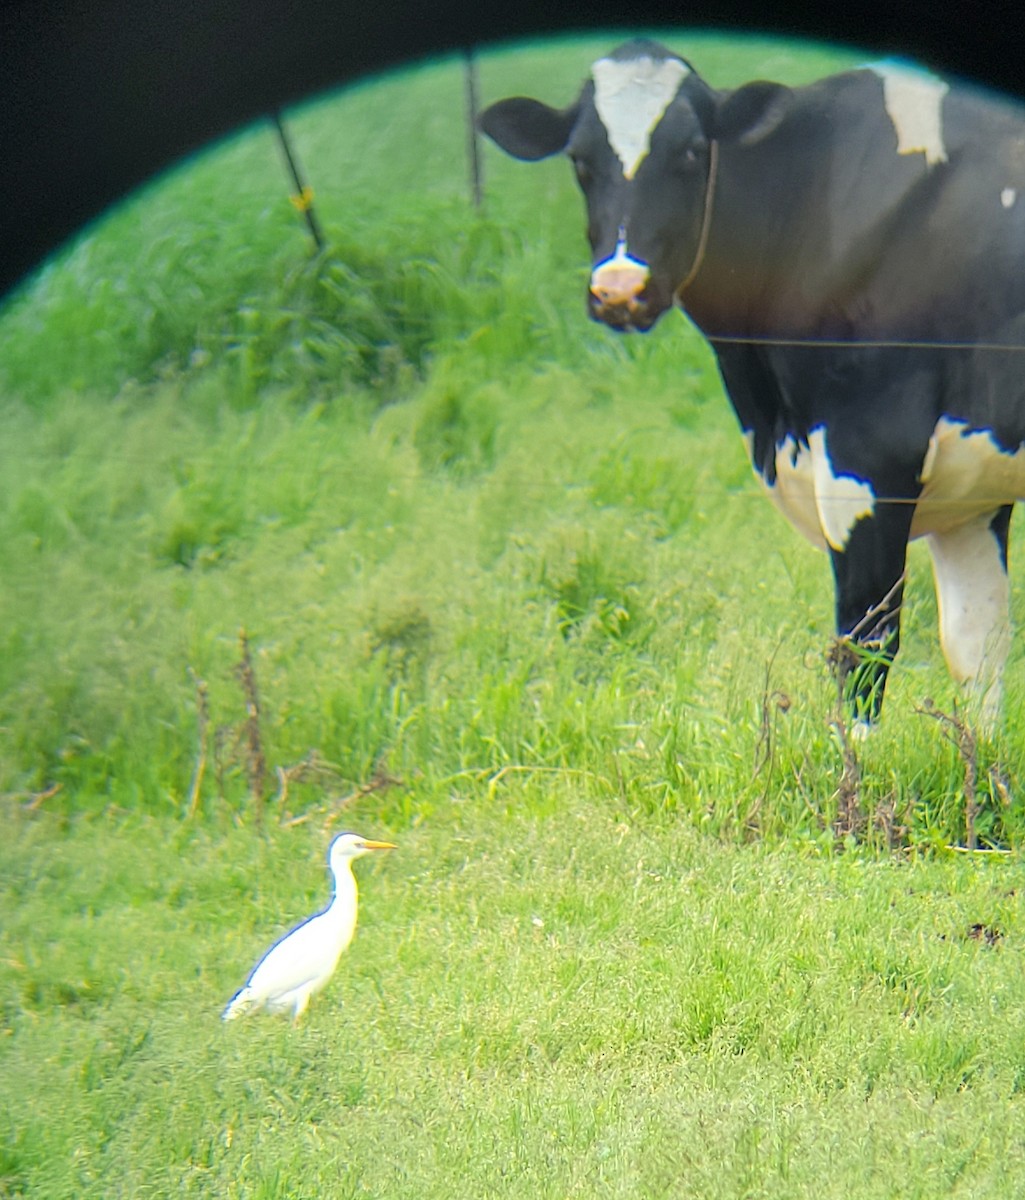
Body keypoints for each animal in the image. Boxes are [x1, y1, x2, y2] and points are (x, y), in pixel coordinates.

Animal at [479, 39, 1025, 729]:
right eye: (579, 159)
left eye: (691, 150)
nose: (620, 289)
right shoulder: (973, 491)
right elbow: (978, 654)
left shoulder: (869, 456)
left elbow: (864, 651)